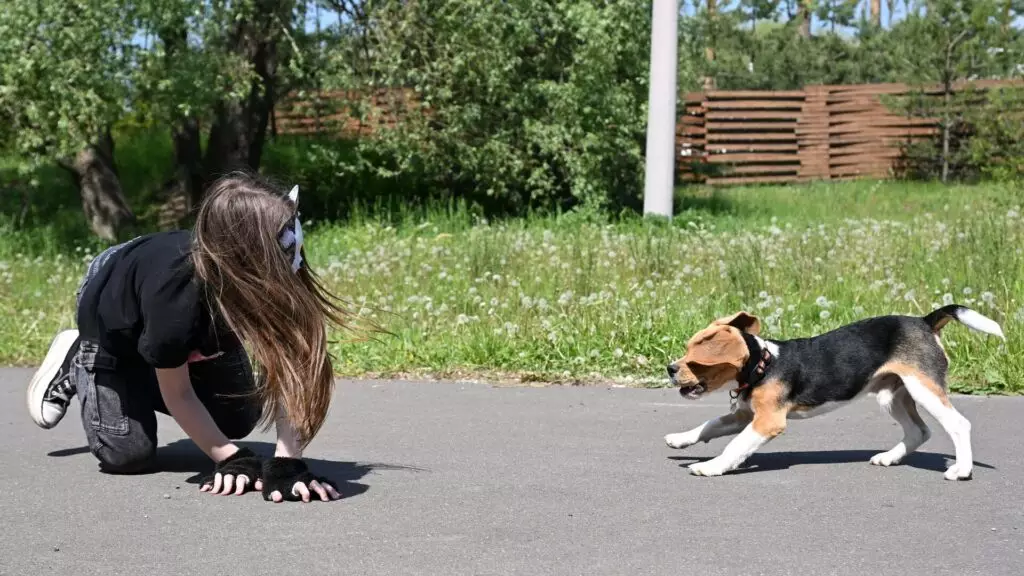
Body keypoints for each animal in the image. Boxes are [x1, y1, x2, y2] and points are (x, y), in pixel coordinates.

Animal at [667, 303, 1003, 477]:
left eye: (695, 361)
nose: (670, 368)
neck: (764, 364)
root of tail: (924, 321)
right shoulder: (744, 416)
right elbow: (709, 425)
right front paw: (680, 439)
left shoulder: (767, 421)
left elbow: (735, 445)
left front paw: (711, 466)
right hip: (892, 394)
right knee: (918, 431)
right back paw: (889, 458)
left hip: (923, 388)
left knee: (958, 424)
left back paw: (961, 470)